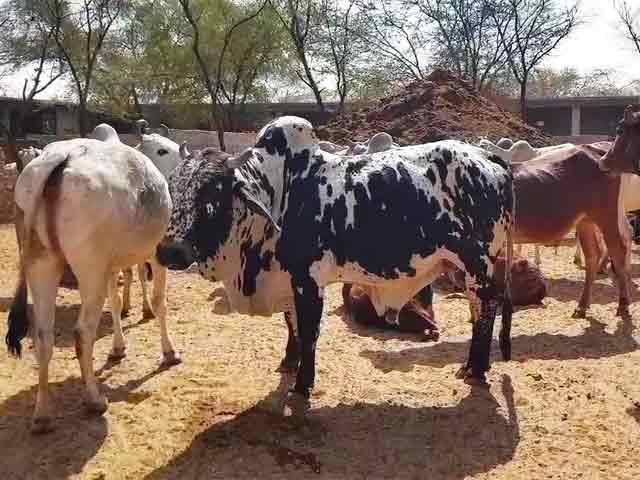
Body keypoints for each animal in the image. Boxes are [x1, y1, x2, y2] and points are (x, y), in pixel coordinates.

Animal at [5, 138, 175, 433]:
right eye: (163, 149)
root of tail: (61, 158)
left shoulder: (110, 266)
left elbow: (116, 303)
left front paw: (118, 348)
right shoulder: (156, 253)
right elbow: (158, 303)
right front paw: (169, 352)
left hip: (42, 266)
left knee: (43, 337)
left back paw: (42, 414)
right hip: (88, 269)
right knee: (83, 332)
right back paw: (94, 399)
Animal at [156, 115, 515, 400]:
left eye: (211, 191)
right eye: (173, 186)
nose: (169, 250)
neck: (280, 191)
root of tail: (488, 156)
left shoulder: (308, 280)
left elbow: (309, 333)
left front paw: (302, 384)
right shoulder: (288, 280)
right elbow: (292, 326)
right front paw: (289, 362)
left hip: (478, 265)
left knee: (486, 308)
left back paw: (476, 370)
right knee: (477, 310)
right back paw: (475, 365)